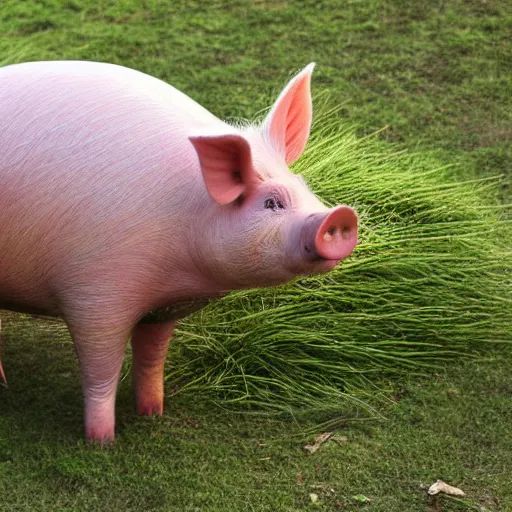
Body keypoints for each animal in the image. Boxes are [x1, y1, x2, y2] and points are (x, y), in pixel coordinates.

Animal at [0, 62, 358, 442]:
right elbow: (101, 373)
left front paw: (153, 412)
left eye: (304, 186)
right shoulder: (94, 293)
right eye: (271, 202)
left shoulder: (164, 308)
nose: (341, 215)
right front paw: (102, 441)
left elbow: (152, 357)